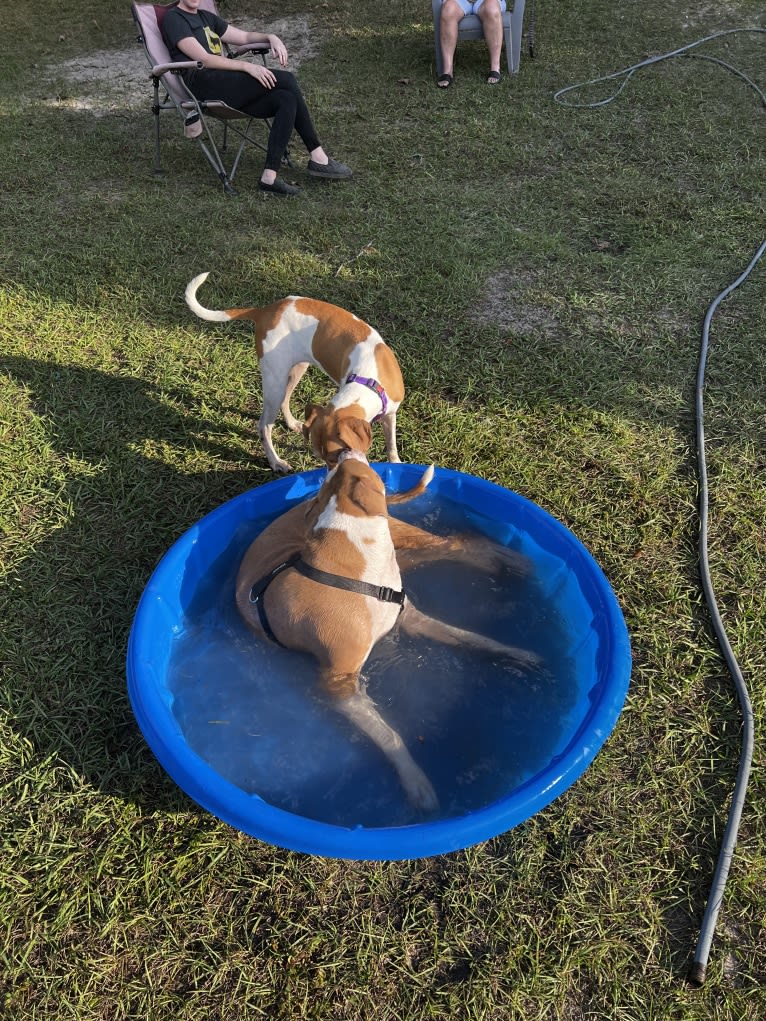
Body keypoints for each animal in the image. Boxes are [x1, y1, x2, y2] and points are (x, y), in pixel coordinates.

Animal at [184, 273, 408, 475]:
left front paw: (396, 464)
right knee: (264, 426)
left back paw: (292, 424)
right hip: (274, 381)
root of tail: (265, 311)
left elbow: (391, 444)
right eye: (322, 457)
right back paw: (276, 461)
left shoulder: (391, 415)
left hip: (297, 369)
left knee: (285, 399)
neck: (367, 380)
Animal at [236, 418, 543, 808]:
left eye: (339, 470)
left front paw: (516, 654)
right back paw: (510, 561)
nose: (343, 450)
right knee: (461, 544)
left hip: (409, 545)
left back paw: (514, 560)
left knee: (459, 543)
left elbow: (473, 638)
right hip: (409, 553)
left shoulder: (408, 618)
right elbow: (390, 734)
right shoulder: (340, 682)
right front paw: (415, 780)